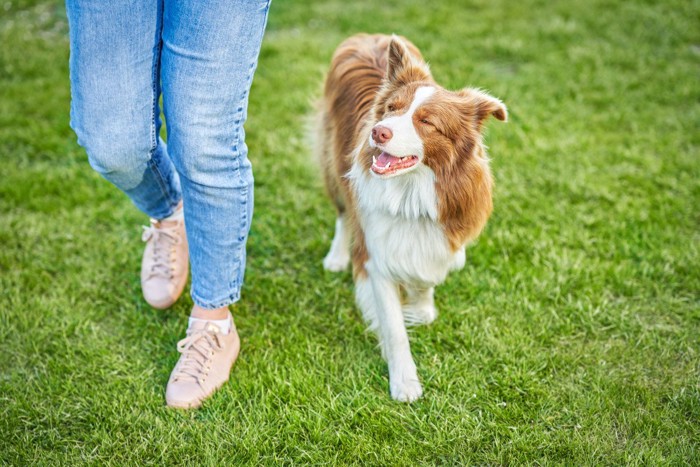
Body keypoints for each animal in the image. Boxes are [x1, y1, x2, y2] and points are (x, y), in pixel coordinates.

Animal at [314, 33, 506, 402]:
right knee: (344, 212)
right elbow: (394, 328)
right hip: (332, 159)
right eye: (392, 108)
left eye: (427, 122)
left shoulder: (438, 235)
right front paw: (404, 382)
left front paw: (420, 307)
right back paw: (336, 256)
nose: (378, 132)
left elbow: (426, 281)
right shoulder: (376, 258)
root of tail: (367, 36)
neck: (411, 193)